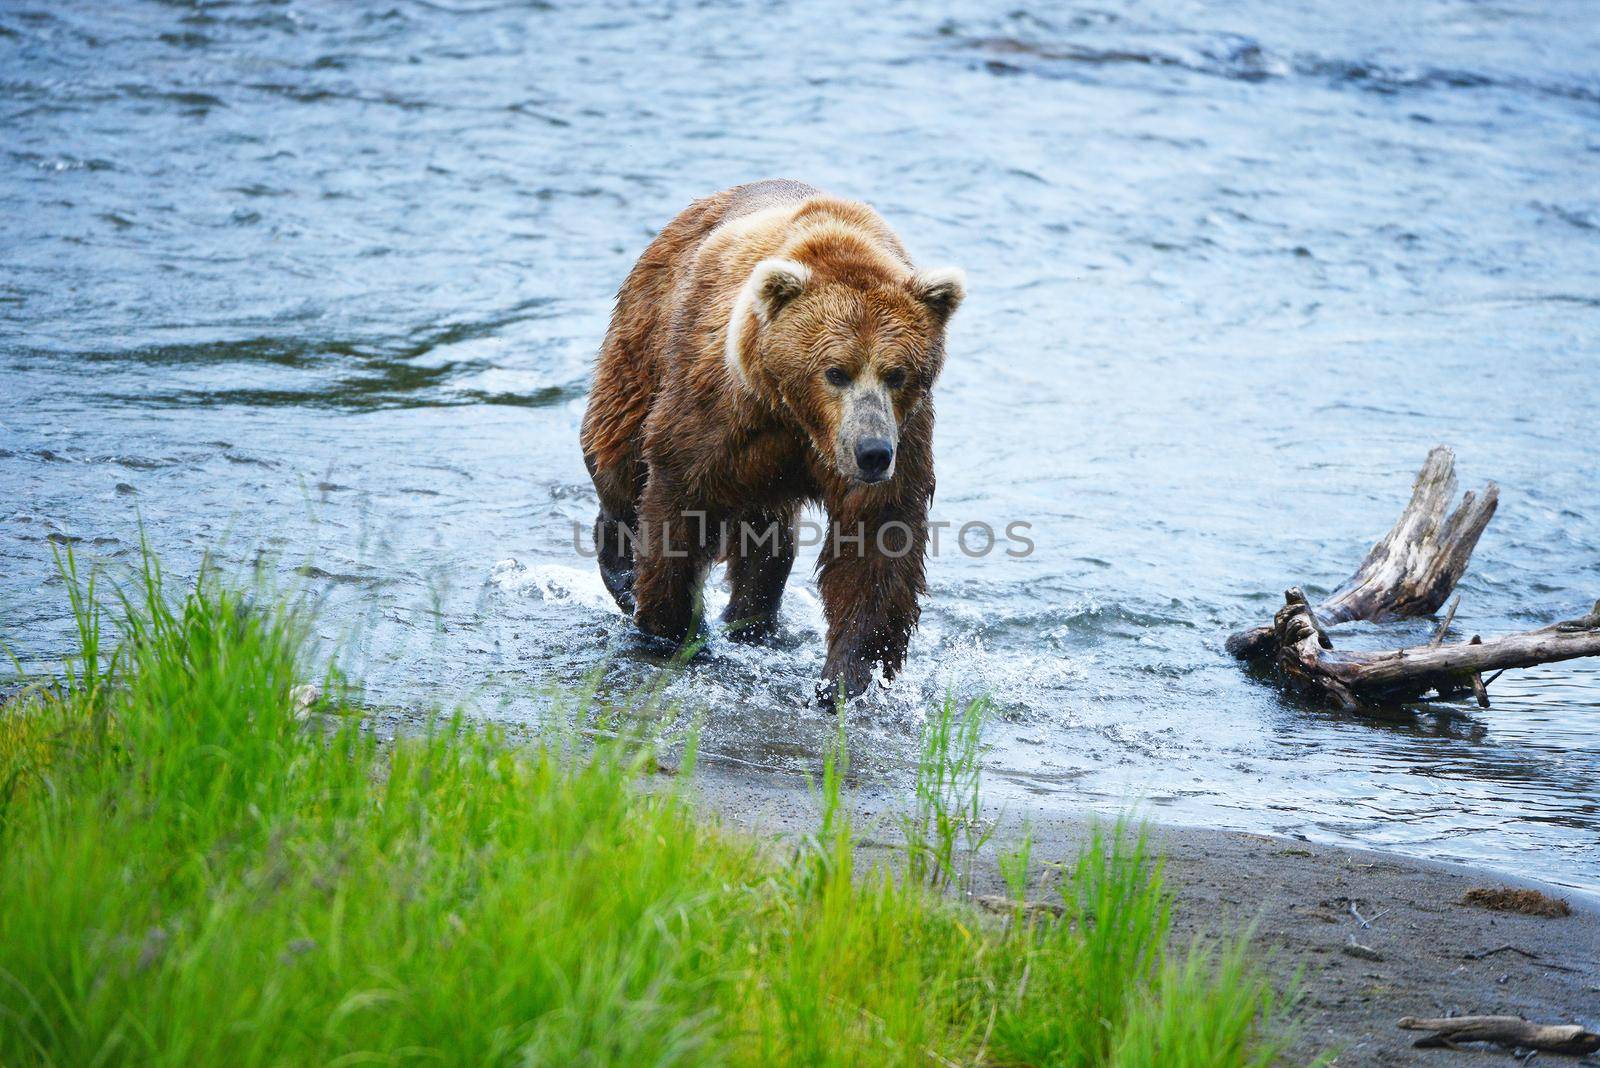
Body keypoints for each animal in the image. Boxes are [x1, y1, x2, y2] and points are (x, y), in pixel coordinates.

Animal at [585, 180, 966, 703]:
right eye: (836, 371)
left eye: (896, 373)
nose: (872, 453)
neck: (798, 419)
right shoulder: (720, 415)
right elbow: (678, 508)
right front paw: (670, 629)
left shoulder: (900, 437)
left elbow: (878, 541)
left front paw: (845, 677)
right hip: (643, 343)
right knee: (620, 455)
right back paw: (623, 571)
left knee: (767, 541)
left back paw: (752, 619)